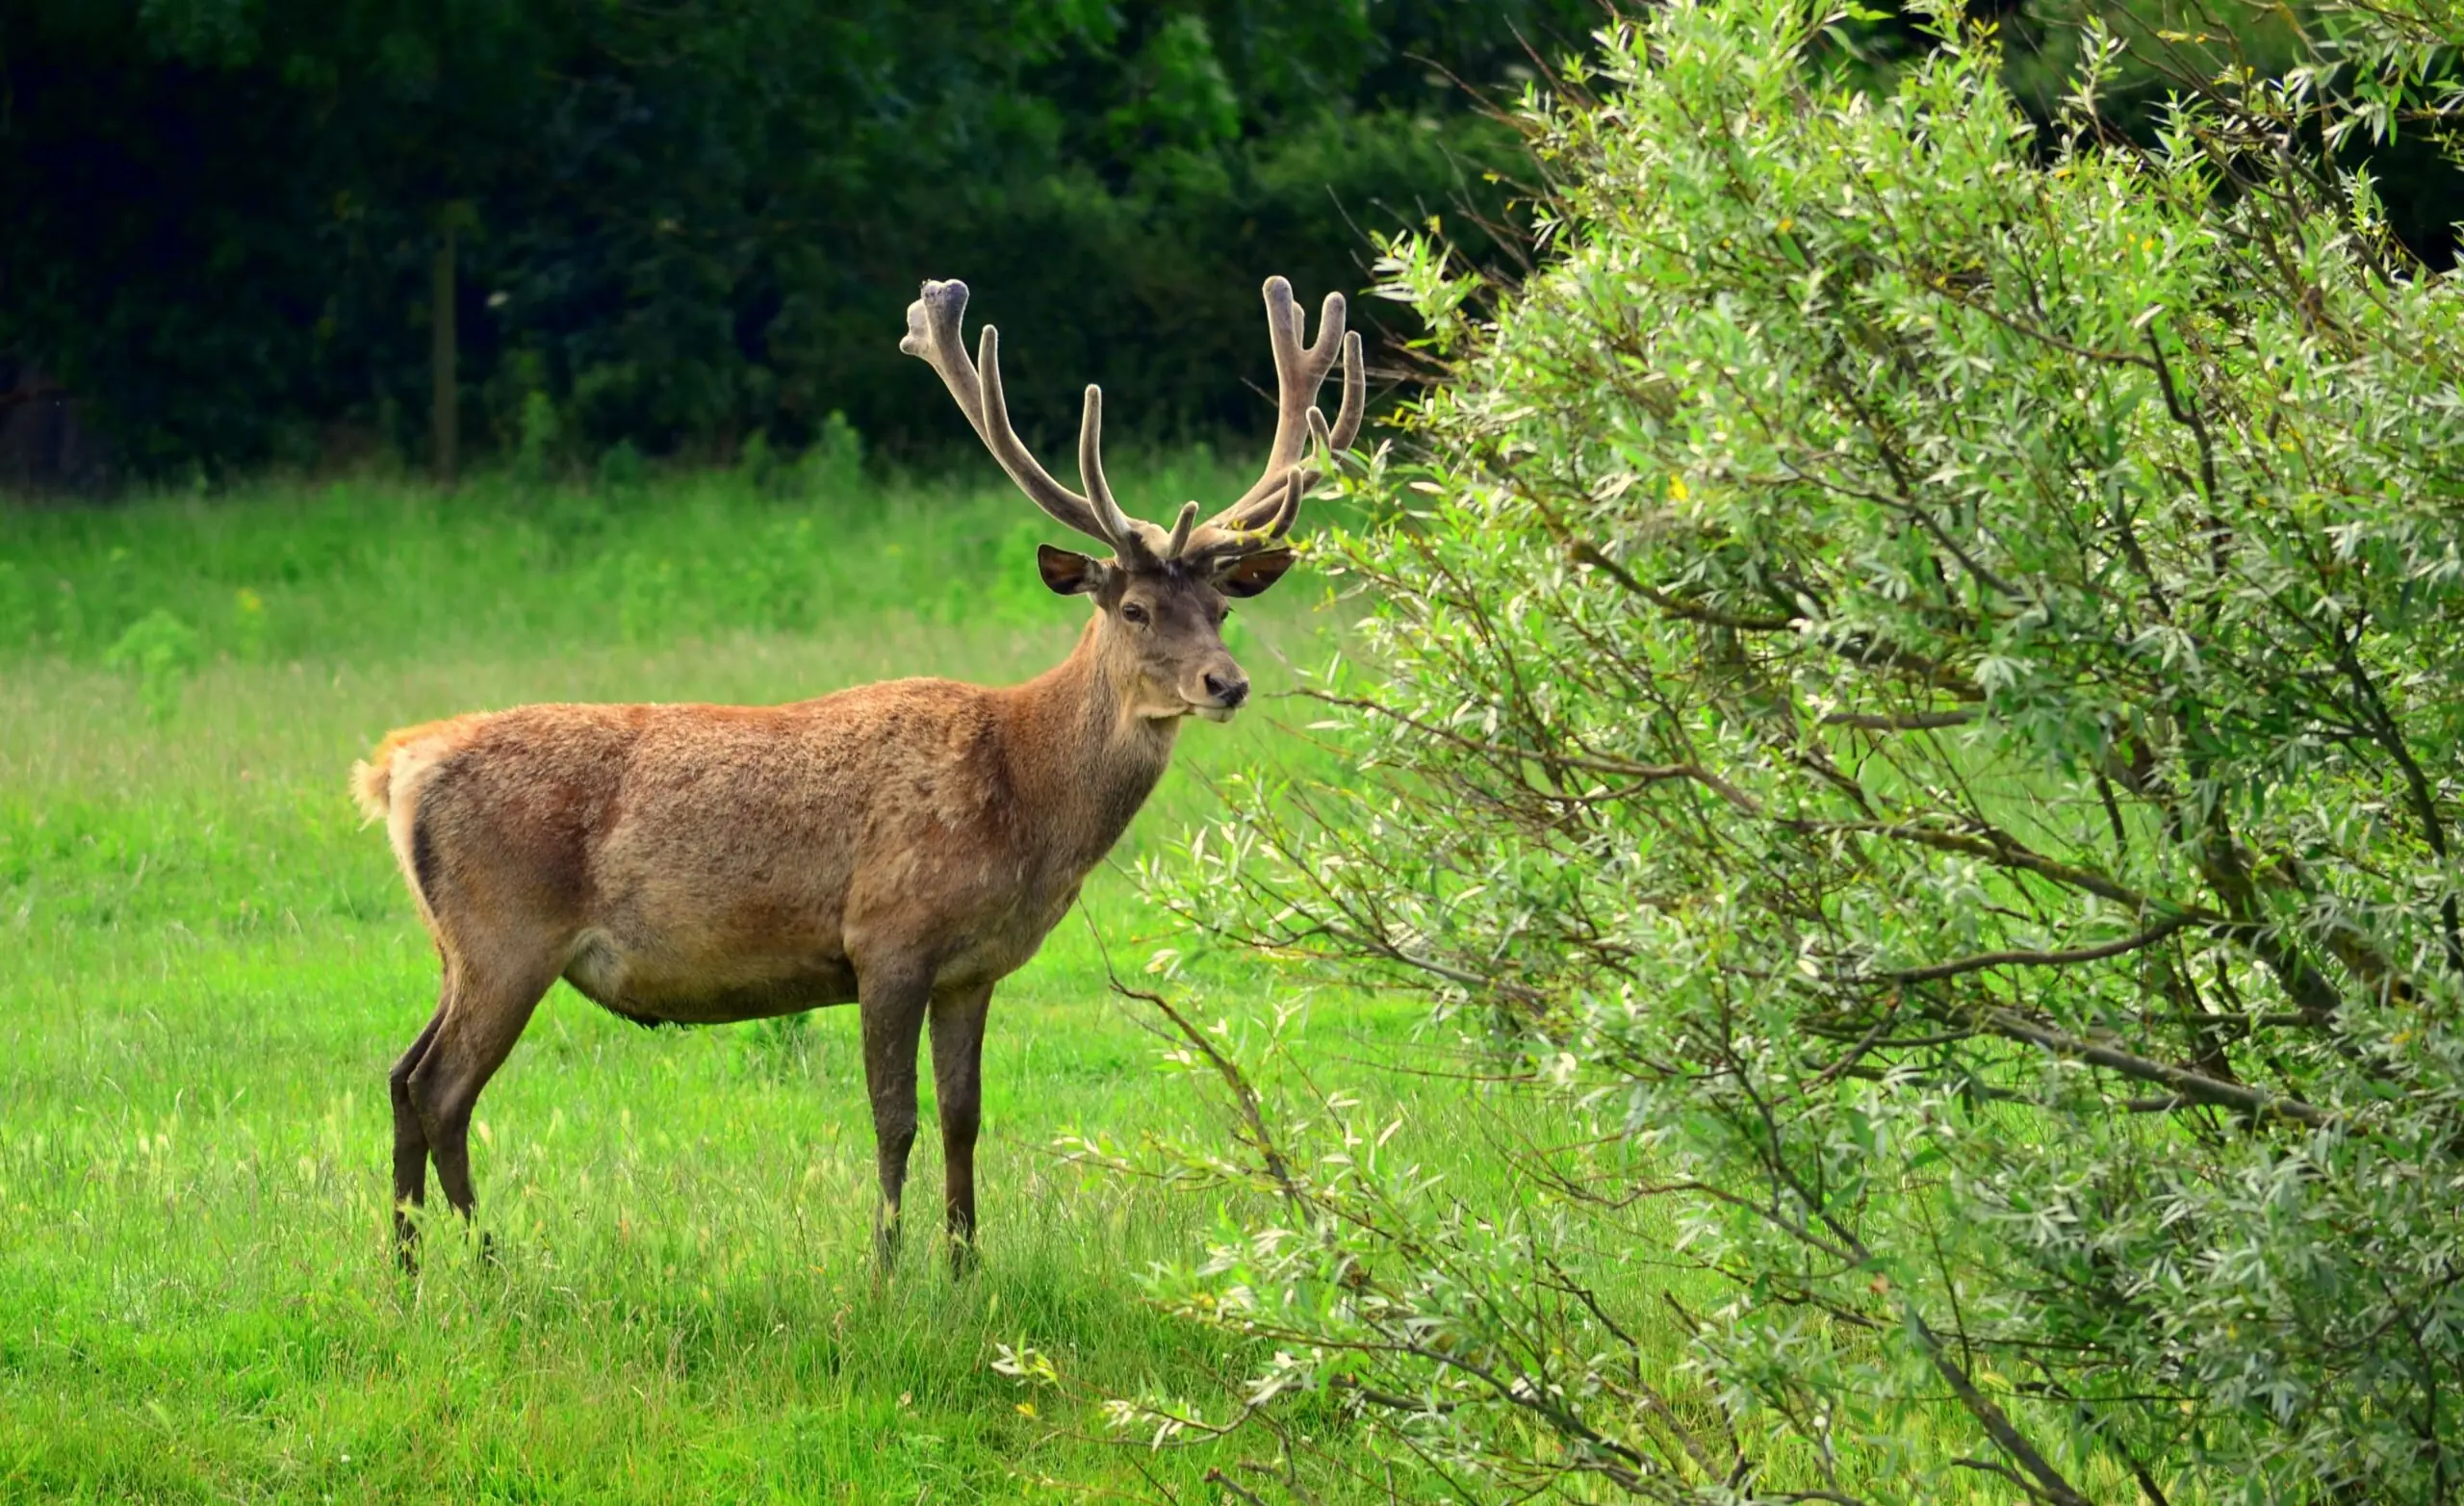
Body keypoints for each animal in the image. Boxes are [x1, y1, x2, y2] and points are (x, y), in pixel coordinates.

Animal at [350, 274, 1362, 1274]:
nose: (1226, 683)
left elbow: (963, 1117)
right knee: (441, 1088)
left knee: (401, 1076)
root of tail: (396, 767)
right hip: (507, 932)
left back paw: (407, 1267)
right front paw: (883, 1269)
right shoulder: (887, 933)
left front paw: (965, 1266)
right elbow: (894, 1118)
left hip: (457, 946)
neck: (1025, 799)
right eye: (1137, 609)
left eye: (1223, 608)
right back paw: (486, 1261)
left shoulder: (971, 969)